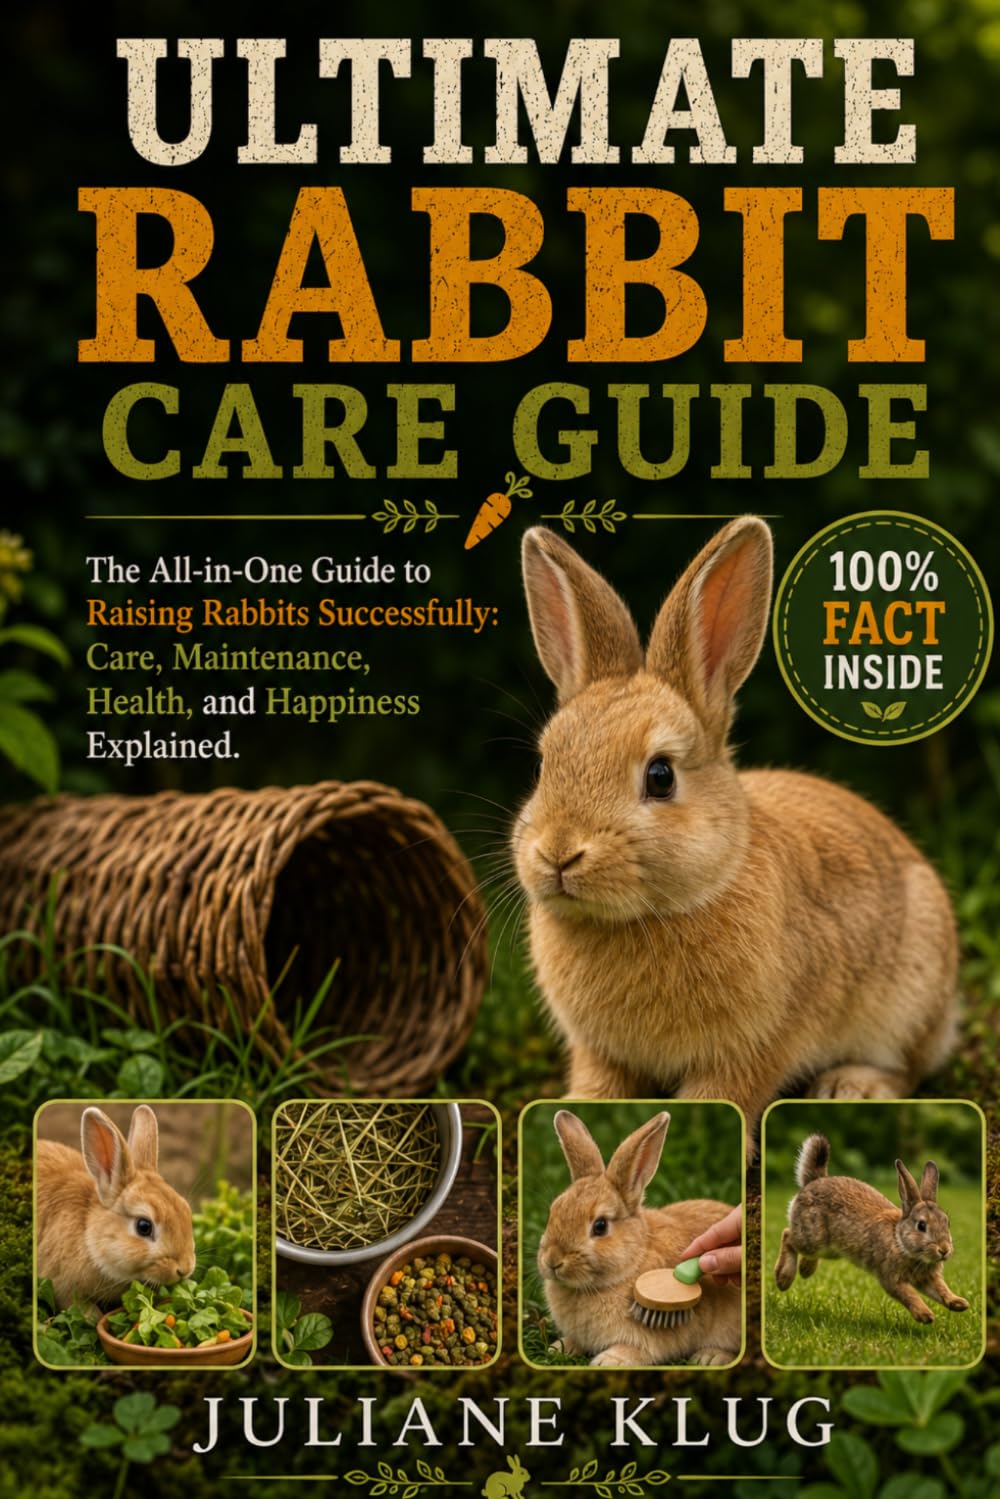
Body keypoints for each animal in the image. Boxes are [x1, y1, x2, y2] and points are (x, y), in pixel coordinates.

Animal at [513, 519, 957, 1150]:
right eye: (543, 765)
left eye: (660, 776)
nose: (558, 853)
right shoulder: (600, 1052)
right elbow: (599, 1087)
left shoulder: (756, 1045)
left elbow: (726, 1095)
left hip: (910, 998)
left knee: (910, 1067)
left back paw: (852, 1085)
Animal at [536, 1109, 741, 1367]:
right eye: (554, 1210)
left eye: (600, 1226)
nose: (553, 1261)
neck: (633, 1263)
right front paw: (558, 1348)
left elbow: (638, 1350)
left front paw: (609, 1361)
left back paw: (710, 1357)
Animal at [774, 1133, 970, 1323]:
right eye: (921, 1226)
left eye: (947, 1222)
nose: (944, 1250)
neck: (899, 1240)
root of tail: (812, 1182)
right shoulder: (891, 1277)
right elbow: (908, 1294)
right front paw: (925, 1315)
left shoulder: (927, 1278)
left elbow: (941, 1290)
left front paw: (959, 1303)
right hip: (813, 1238)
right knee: (788, 1235)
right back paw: (783, 1279)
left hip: (829, 1249)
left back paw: (805, 1270)